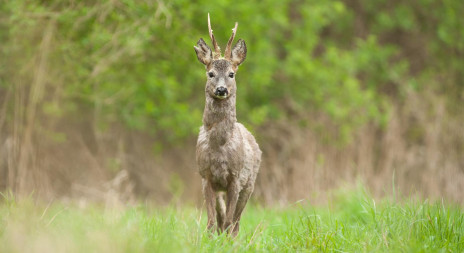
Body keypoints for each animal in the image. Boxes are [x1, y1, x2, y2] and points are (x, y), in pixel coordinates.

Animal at [194, 13, 260, 235]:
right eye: (210, 73)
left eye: (232, 74)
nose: (222, 89)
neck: (219, 146)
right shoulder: (205, 176)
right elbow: (212, 221)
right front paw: (210, 238)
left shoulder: (236, 178)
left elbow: (231, 221)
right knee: (222, 219)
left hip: (250, 183)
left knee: (236, 222)